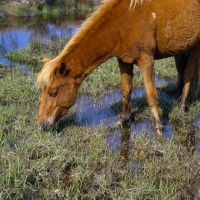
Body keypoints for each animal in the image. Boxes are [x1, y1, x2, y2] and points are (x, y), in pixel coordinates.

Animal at [36, 0, 200, 135]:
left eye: (53, 93)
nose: (41, 125)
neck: (123, 22)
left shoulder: (146, 60)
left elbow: (151, 96)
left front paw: (159, 127)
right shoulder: (124, 61)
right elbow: (126, 91)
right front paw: (124, 119)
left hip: (194, 47)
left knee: (188, 75)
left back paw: (182, 107)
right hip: (180, 48)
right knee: (181, 70)